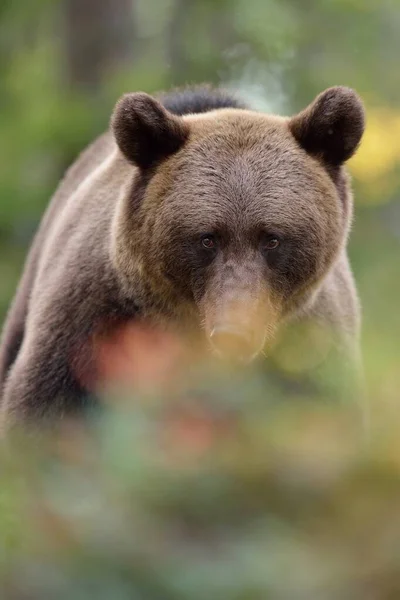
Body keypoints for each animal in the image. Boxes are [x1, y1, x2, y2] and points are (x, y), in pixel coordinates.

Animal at [0, 84, 366, 428]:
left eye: (272, 239)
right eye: (207, 239)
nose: (234, 332)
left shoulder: (308, 346)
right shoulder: (92, 320)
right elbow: (44, 406)